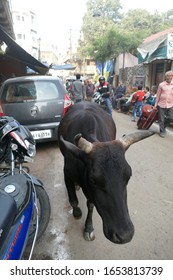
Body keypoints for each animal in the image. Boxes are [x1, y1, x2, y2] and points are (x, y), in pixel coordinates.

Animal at [58, 101, 154, 244]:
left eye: (128, 176)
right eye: (93, 180)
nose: (125, 235)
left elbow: (90, 205)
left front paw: (89, 228)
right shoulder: (67, 174)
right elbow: (73, 200)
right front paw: (77, 213)